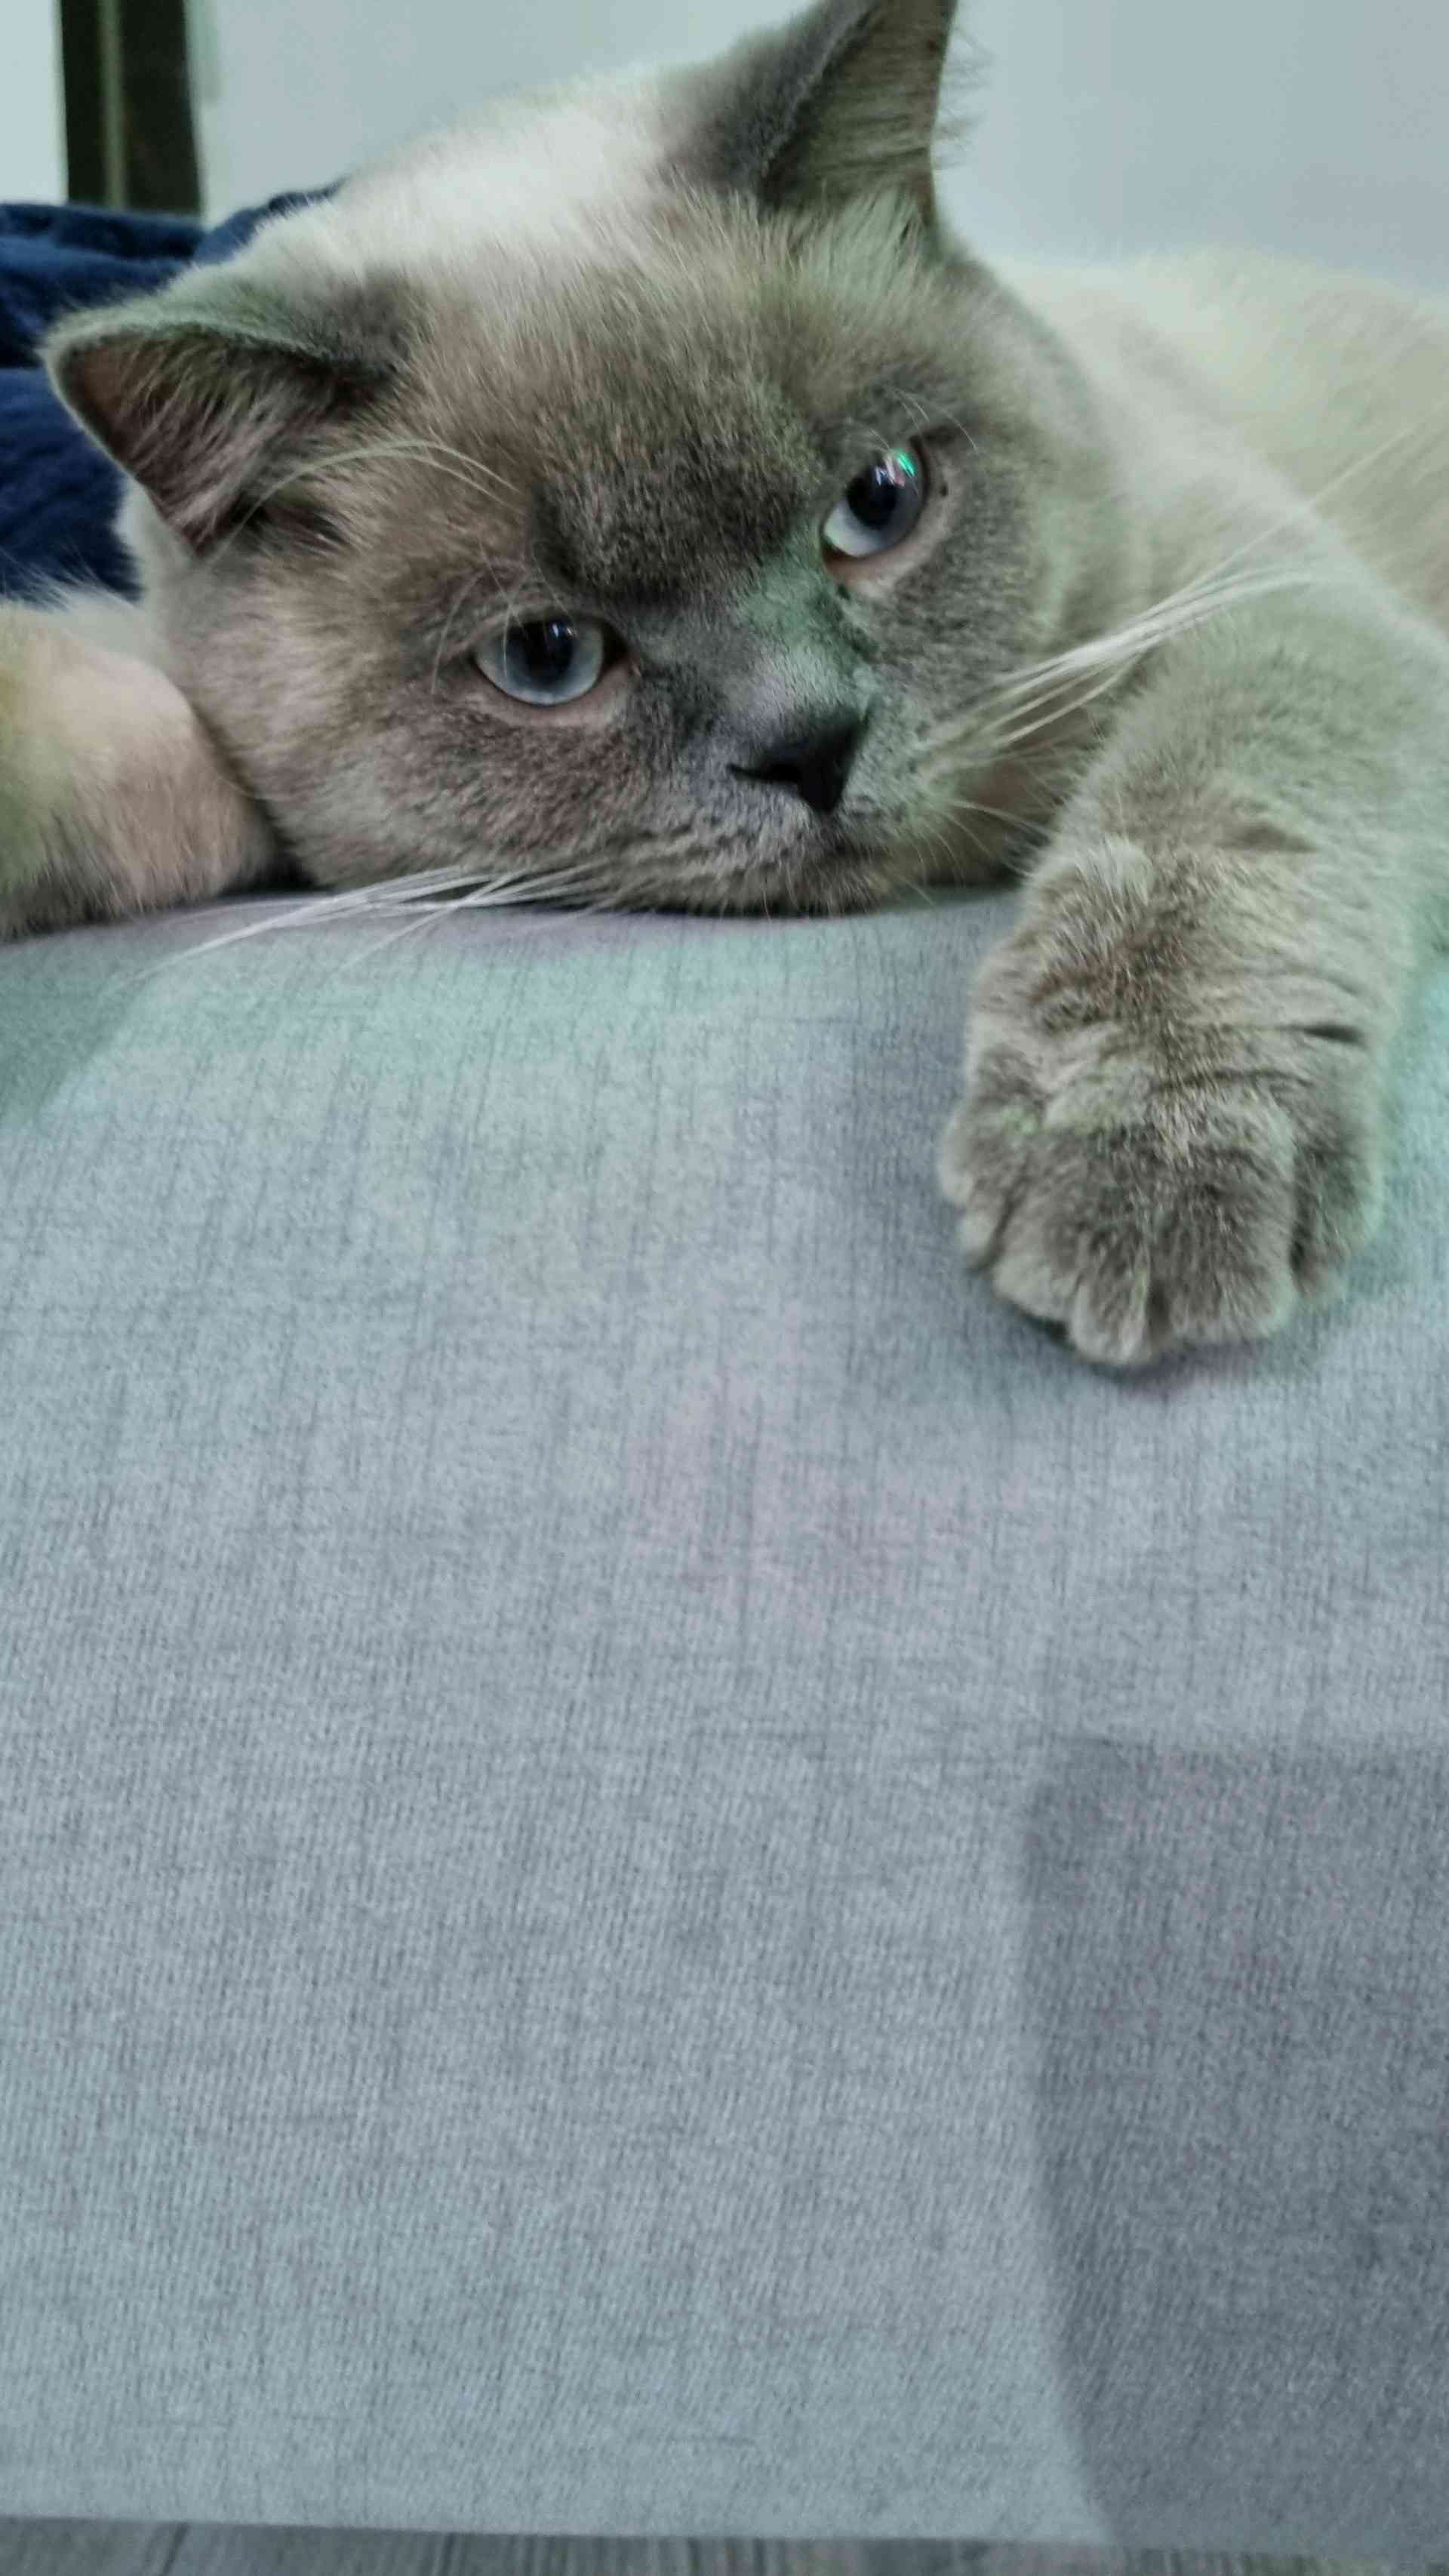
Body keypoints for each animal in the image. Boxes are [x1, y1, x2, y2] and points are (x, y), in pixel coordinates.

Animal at [2, 0, 1447, 1367]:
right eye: (550, 656)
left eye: (880, 502)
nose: (815, 746)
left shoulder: (1258, 601)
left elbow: (1208, 831)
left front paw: (1148, 1162)